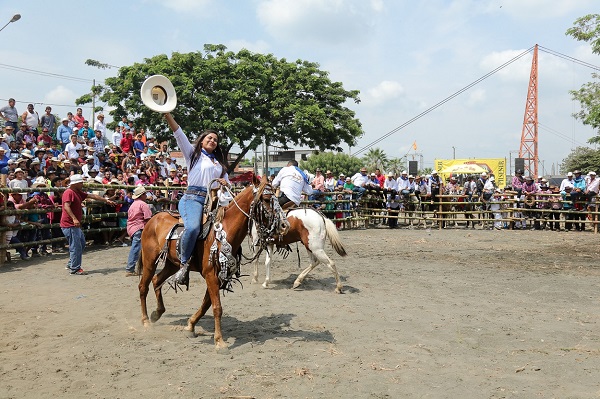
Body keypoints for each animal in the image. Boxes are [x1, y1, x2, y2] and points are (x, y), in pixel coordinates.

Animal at [137, 178, 288, 350]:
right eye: (267, 199)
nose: (284, 225)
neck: (224, 233)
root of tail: (152, 220)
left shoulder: (219, 277)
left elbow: (206, 304)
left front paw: (190, 326)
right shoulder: (211, 275)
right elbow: (217, 307)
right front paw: (219, 341)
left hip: (172, 264)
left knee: (157, 280)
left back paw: (157, 313)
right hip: (149, 260)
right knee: (143, 286)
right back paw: (145, 320)